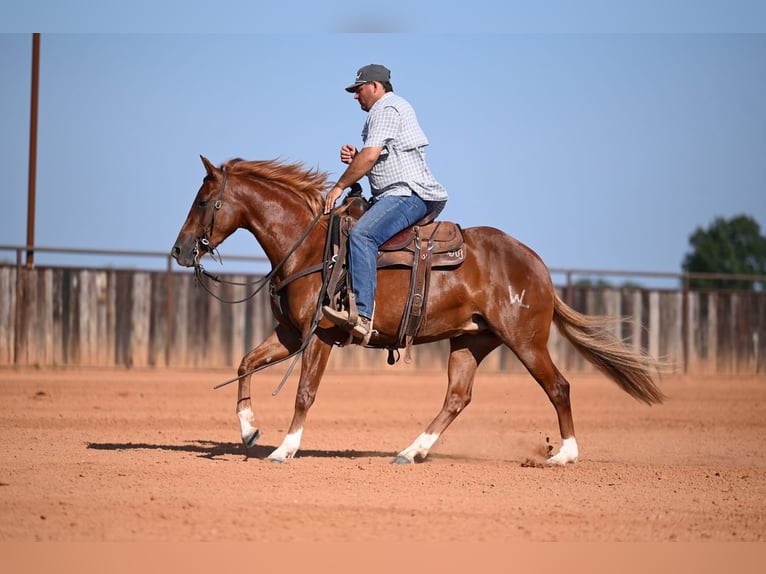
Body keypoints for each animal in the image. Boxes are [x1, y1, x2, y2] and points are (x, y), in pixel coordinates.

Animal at [171, 156, 663, 465]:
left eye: (202, 201)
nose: (179, 250)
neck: (309, 247)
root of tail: (537, 265)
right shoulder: (292, 334)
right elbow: (245, 362)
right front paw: (249, 431)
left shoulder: (321, 335)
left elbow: (304, 393)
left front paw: (283, 449)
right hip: (471, 340)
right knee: (457, 397)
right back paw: (411, 451)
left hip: (525, 340)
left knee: (558, 386)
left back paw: (565, 454)